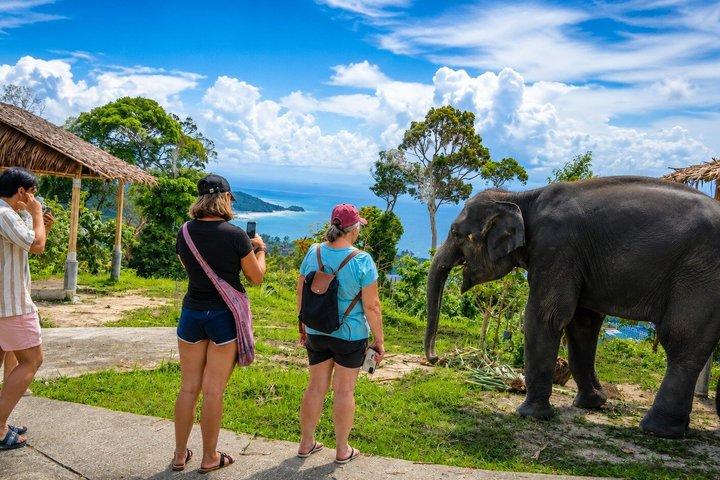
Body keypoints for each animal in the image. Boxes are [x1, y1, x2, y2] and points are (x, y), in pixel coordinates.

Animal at [425, 176, 720, 439]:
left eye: (456, 233)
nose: (437, 359)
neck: (521, 198)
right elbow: (582, 324)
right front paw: (593, 403)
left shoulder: (556, 248)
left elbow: (546, 317)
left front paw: (530, 414)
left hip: (699, 276)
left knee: (681, 340)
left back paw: (657, 430)